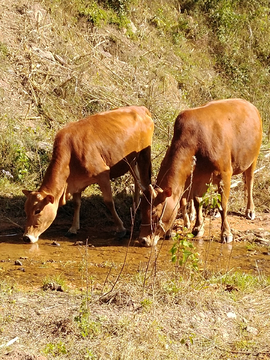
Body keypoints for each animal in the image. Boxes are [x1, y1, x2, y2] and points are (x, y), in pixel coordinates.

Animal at [22, 105, 153, 243]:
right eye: (25, 210)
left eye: (37, 211)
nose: (26, 237)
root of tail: (140, 108)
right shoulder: (75, 182)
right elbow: (76, 203)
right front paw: (73, 228)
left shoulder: (103, 174)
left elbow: (109, 202)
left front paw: (121, 228)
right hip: (131, 162)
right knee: (137, 181)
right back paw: (135, 206)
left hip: (144, 156)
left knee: (144, 182)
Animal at [139, 97, 262, 246]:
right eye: (142, 211)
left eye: (154, 213)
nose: (143, 239)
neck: (195, 143)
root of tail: (250, 105)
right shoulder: (198, 178)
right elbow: (198, 201)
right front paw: (198, 227)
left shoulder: (225, 174)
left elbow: (223, 206)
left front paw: (226, 233)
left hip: (253, 158)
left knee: (249, 182)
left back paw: (250, 210)